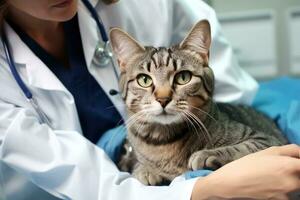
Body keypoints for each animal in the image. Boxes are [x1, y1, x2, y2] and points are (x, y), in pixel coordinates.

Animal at [109, 19, 288, 185]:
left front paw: (208, 154)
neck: (163, 141)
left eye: (183, 77)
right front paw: (144, 169)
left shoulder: (268, 141)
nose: (163, 99)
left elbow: (243, 147)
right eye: (144, 80)